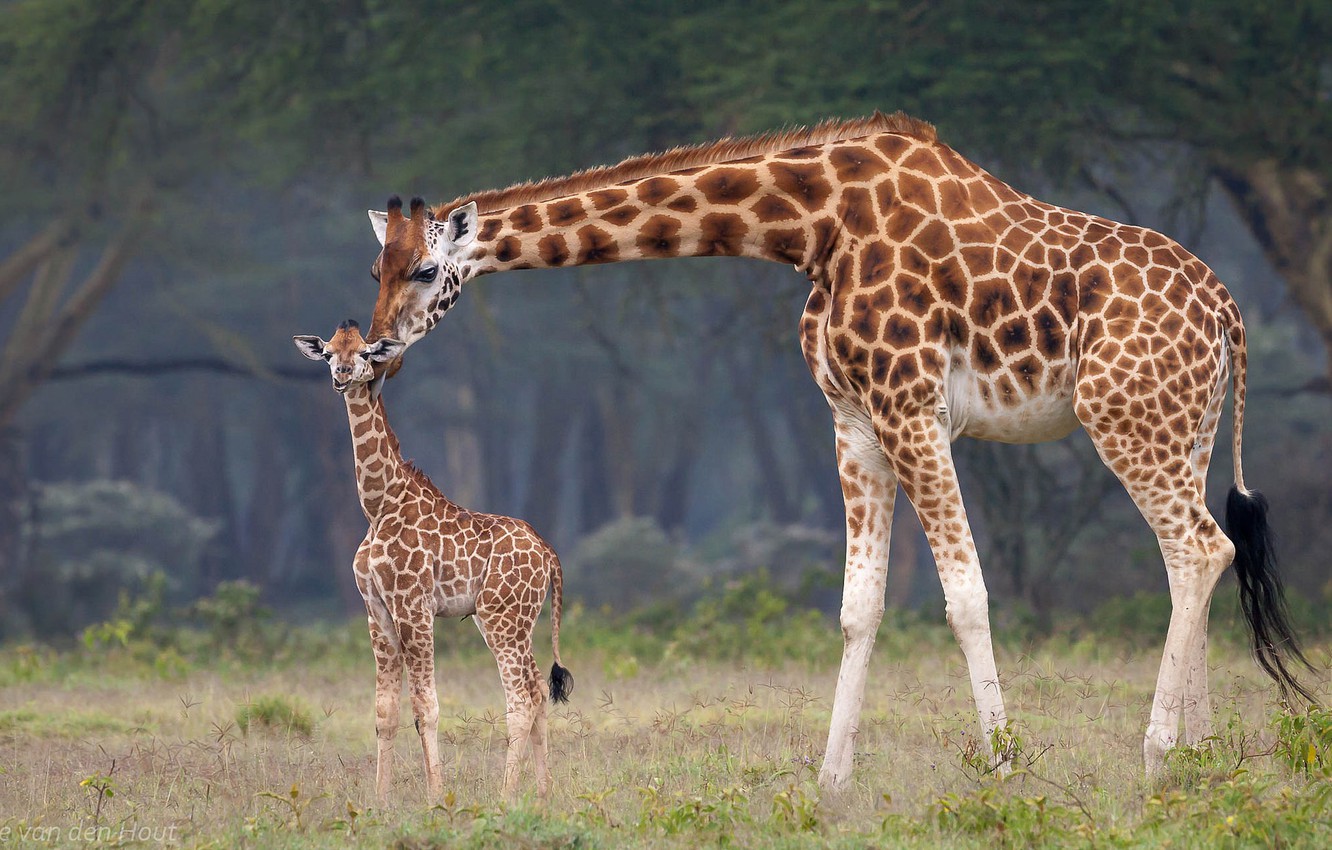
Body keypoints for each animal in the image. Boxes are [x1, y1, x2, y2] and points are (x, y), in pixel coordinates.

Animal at [294, 321, 570, 804]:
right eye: (328, 353)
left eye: (365, 353)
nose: (342, 375)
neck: (379, 505)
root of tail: (548, 554)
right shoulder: (377, 610)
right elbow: (384, 711)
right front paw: (380, 800)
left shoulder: (413, 606)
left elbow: (426, 706)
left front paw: (436, 797)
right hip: (514, 620)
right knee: (537, 686)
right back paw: (542, 792)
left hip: (502, 619)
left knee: (521, 696)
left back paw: (505, 797)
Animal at [362, 114, 1310, 794]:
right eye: (375, 269)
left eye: (423, 272)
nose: (376, 348)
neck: (810, 226)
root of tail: (1229, 310)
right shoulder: (852, 421)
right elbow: (860, 607)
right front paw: (830, 781)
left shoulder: (911, 407)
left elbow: (966, 595)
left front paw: (1006, 767)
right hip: (1179, 427)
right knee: (1197, 556)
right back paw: (1199, 757)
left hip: (1125, 418)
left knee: (1198, 548)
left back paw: (1157, 755)